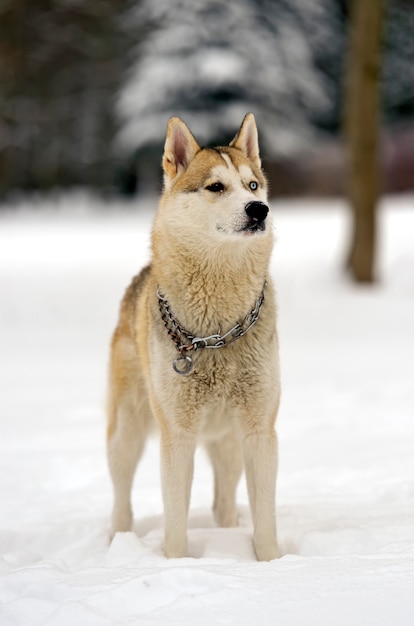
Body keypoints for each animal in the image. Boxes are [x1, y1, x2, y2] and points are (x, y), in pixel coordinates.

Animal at [106, 113, 282, 560]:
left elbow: (265, 521)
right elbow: (174, 523)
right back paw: (117, 543)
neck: (216, 334)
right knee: (121, 499)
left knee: (224, 501)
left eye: (252, 185)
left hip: (229, 443)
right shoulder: (177, 434)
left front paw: (273, 564)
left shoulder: (259, 430)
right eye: (216, 187)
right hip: (126, 433)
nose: (259, 210)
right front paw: (176, 564)